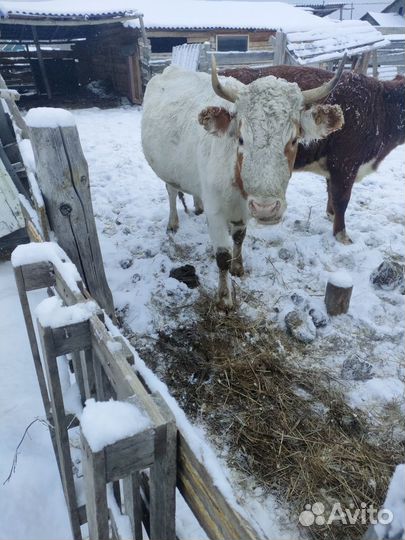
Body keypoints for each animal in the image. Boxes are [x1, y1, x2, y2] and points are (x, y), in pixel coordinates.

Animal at [142, 57, 344, 308]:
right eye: (240, 138)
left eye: (294, 139)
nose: (266, 209)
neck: (237, 184)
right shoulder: (216, 211)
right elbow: (222, 256)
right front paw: (224, 298)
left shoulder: (244, 209)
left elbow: (239, 237)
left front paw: (238, 267)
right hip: (167, 170)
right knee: (171, 192)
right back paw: (173, 223)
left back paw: (197, 206)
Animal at [221, 64, 404, 244]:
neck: (379, 106)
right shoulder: (345, 165)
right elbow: (341, 199)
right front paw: (341, 234)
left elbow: (331, 193)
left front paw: (331, 216)